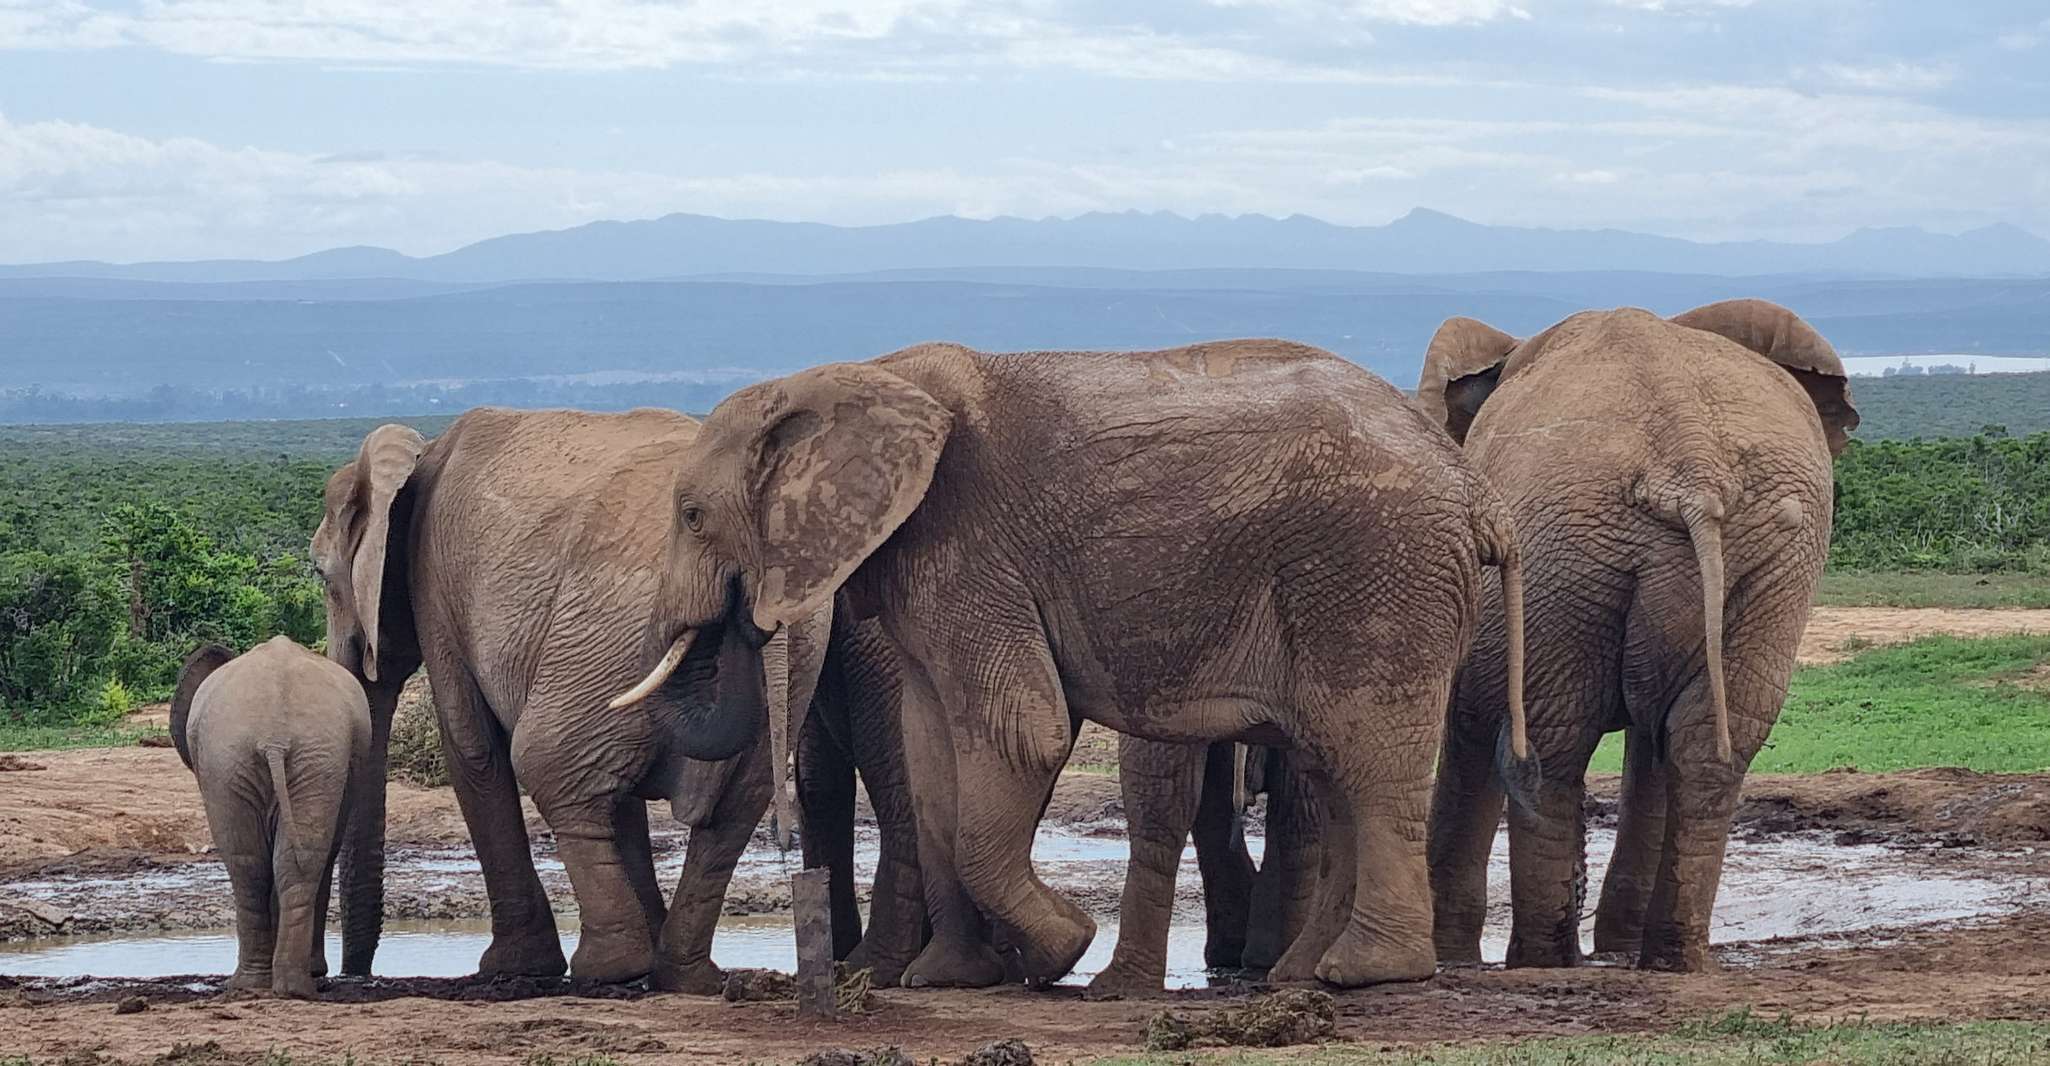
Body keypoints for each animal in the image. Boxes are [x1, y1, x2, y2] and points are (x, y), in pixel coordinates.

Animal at [170, 637, 370, 998]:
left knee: (256, 863)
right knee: (266, 861)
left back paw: (269, 984)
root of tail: (274, 737)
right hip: (262, 758)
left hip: (275, 757)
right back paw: (284, 986)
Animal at [311, 407, 895, 988]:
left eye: (321, 574)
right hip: (783, 655)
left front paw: (511, 967)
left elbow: (474, 750)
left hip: (608, 625)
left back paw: (609, 968)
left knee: (545, 759)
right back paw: (679, 974)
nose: (353, 978)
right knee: (732, 809)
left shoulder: (436, 586)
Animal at [610, 339, 1533, 989]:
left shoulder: (971, 551)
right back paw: (1299, 974)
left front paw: (1058, 955)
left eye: (690, 515)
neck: (853, 377)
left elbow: (1023, 733)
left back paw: (1362, 973)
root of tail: (1479, 491)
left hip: (1375, 572)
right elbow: (930, 754)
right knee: (1333, 765)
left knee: (1365, 754)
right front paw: (949, 980)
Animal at [1417, 299, 1858, 972]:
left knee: (1551, 744)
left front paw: (1454, 956)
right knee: (1706, 743)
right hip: (1767, 554)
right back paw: (1669, 958)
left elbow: (1470, 717)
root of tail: (1690, 463)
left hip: (1563, 542)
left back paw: (1543, 961)